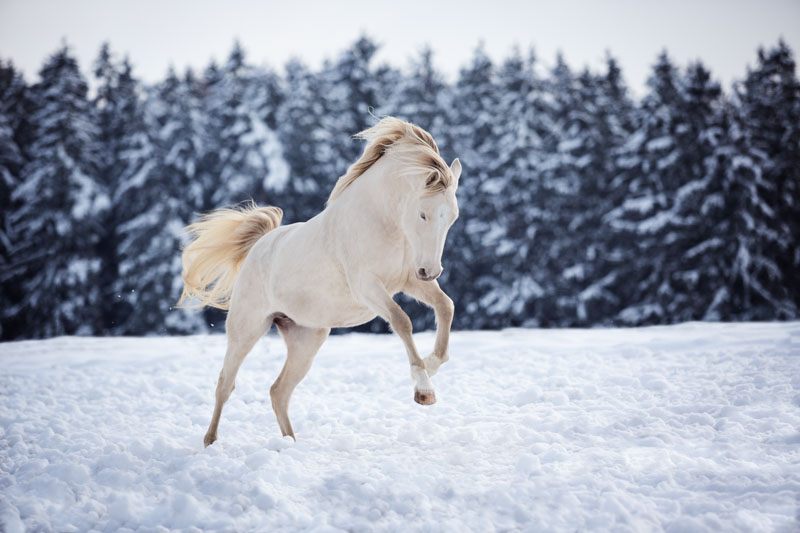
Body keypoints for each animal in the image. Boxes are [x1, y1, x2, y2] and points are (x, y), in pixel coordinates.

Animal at [177, 117, 460, 444]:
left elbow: (446, 307)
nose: (432, 270)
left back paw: (290, 444)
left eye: (452, 217)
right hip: (247, 329)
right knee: (225, 383)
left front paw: (432, 364)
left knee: (279, 391)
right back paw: (210, 442)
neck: (380, 221)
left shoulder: (409, 282)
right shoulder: (367, 287)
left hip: (306, 339)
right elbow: (402, 321)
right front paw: (424, 390)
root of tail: (260, 245)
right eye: (423, 214)